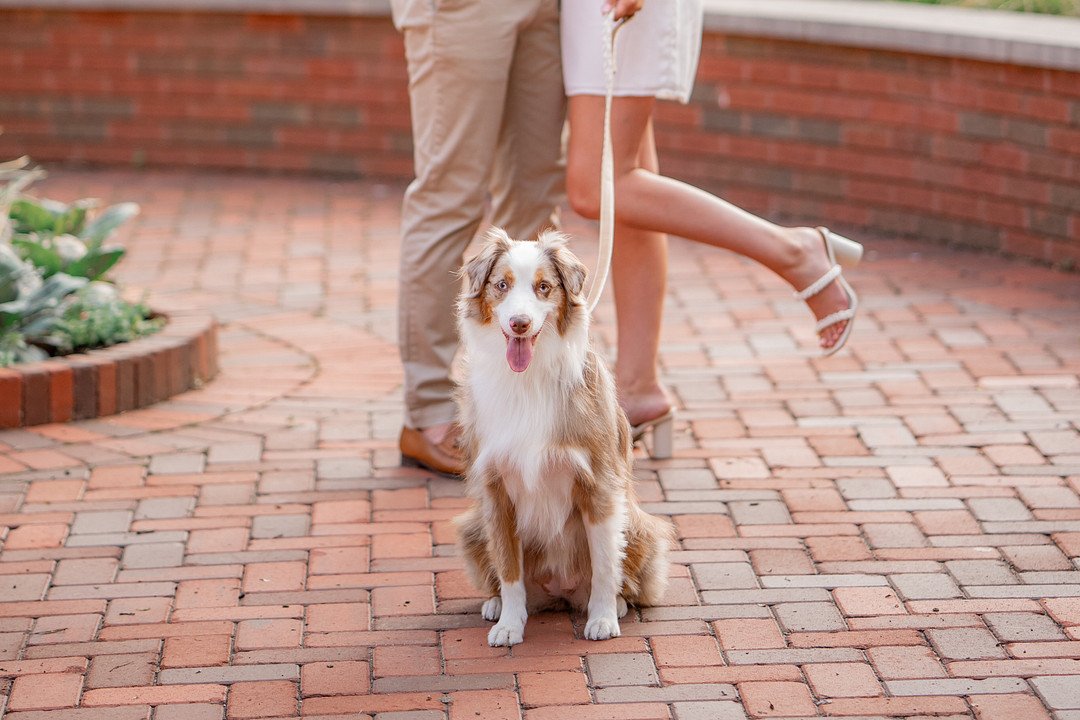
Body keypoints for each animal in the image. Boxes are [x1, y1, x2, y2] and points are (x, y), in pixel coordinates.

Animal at [451, 226, 669, 647]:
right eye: (501, 285)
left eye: (544, 287)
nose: (519, 323)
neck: (527, 378)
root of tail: (559, 593)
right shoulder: (494, 488)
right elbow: (509, 569)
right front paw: (509, 624)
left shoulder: (599, 484)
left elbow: (605, 565)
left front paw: (602, 619)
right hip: (473, 527)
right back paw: (496, 605)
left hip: (640, 526)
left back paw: (616, 605)